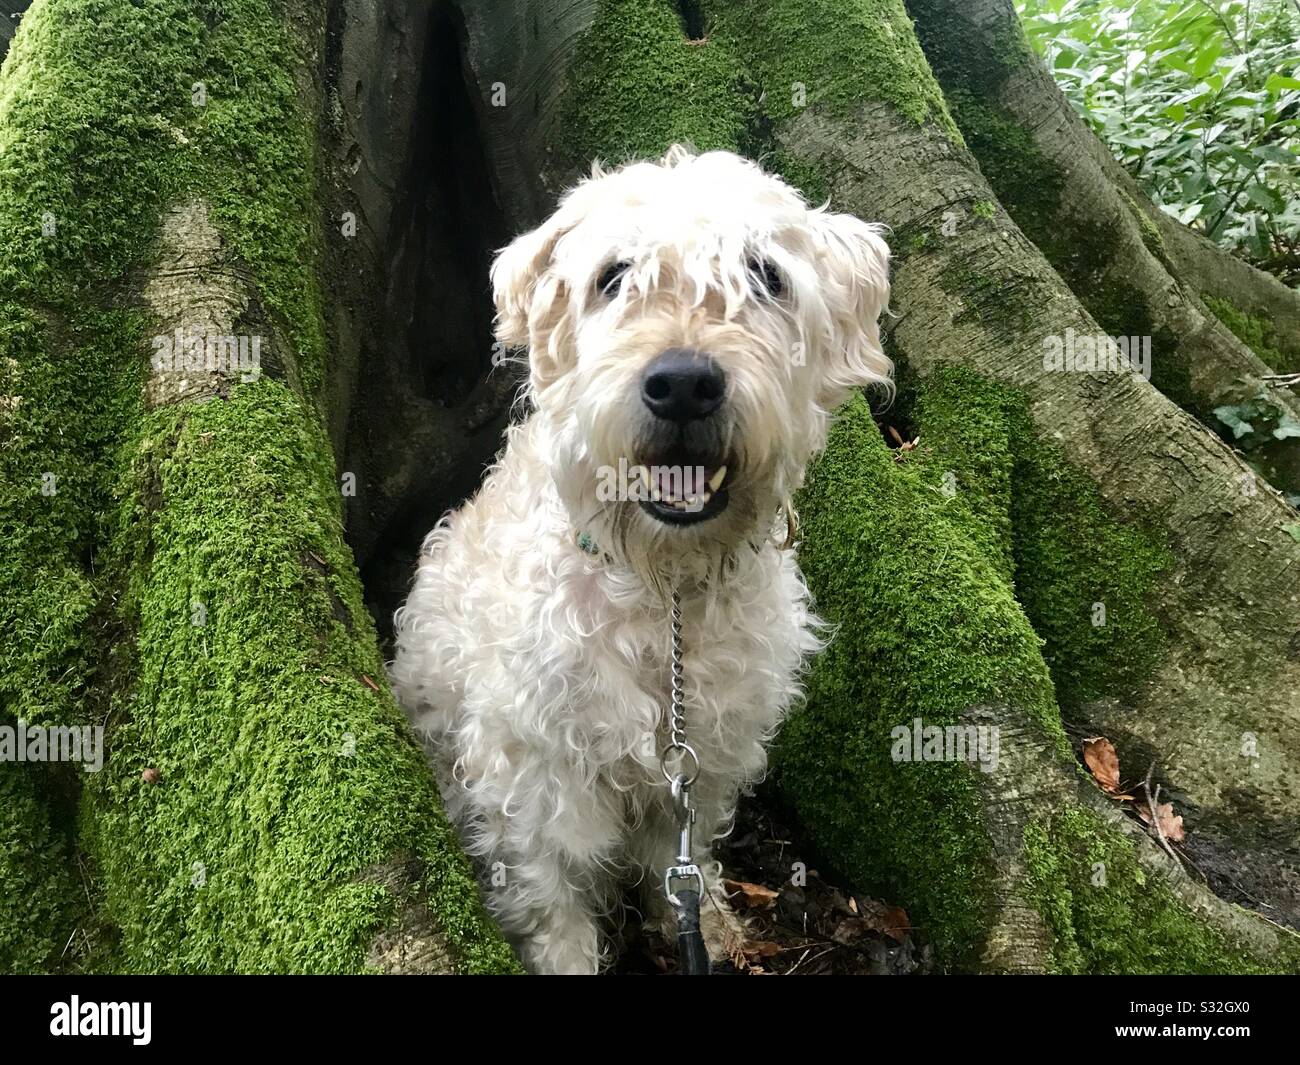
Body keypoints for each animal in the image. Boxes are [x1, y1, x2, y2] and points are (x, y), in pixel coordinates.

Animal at [390, 147, 889, 972]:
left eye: (765, 273)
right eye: (613, 275)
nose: (683, 383)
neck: (667, 590)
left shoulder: (706, 751)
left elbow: (677, 854)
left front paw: (704, 922)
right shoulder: (531, 768)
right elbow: (550, 892)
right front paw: (566, 956)